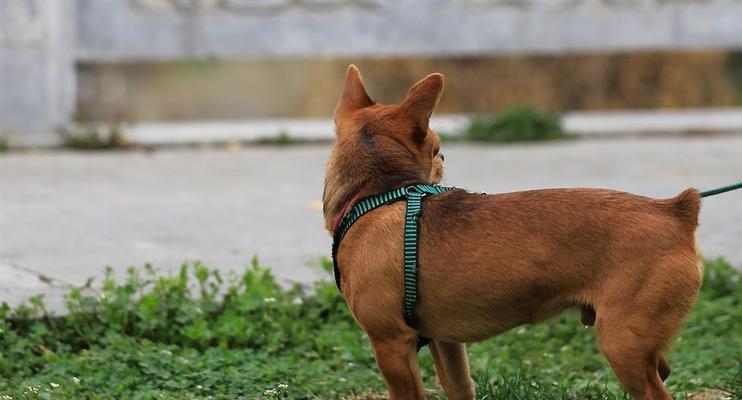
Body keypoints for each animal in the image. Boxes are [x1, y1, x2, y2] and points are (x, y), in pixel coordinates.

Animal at [322, 65, 704, 400]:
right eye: (436, 148)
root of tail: (675, 211)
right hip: (637, 343)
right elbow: (460, 389)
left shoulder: (391, 345)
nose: (443, 158)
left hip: (621, 343)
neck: (378, 193)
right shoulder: (446, 343)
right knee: (662, 370)